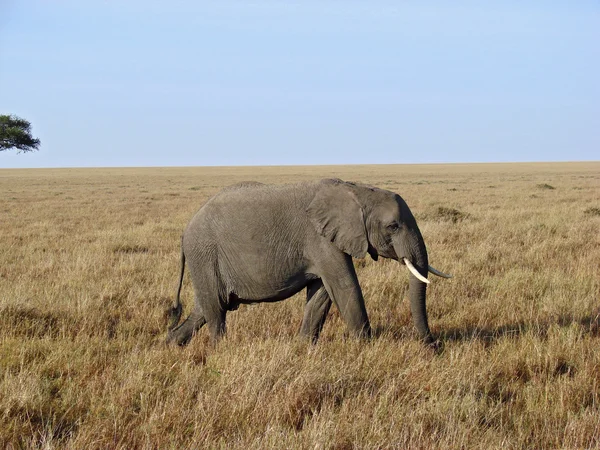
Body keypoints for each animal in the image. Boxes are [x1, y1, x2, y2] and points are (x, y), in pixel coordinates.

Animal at [164, 178, 450, 346]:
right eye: (393, 226)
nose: (434, 345)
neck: (356, 190)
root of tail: (185, 232)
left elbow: (322, 293)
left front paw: (303, 348)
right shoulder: (321, 239)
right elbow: (345, 287)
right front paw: (367, 348)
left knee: (205, 308)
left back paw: (171, 345)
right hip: (205, 253)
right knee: (215, 309)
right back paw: (219, 351)